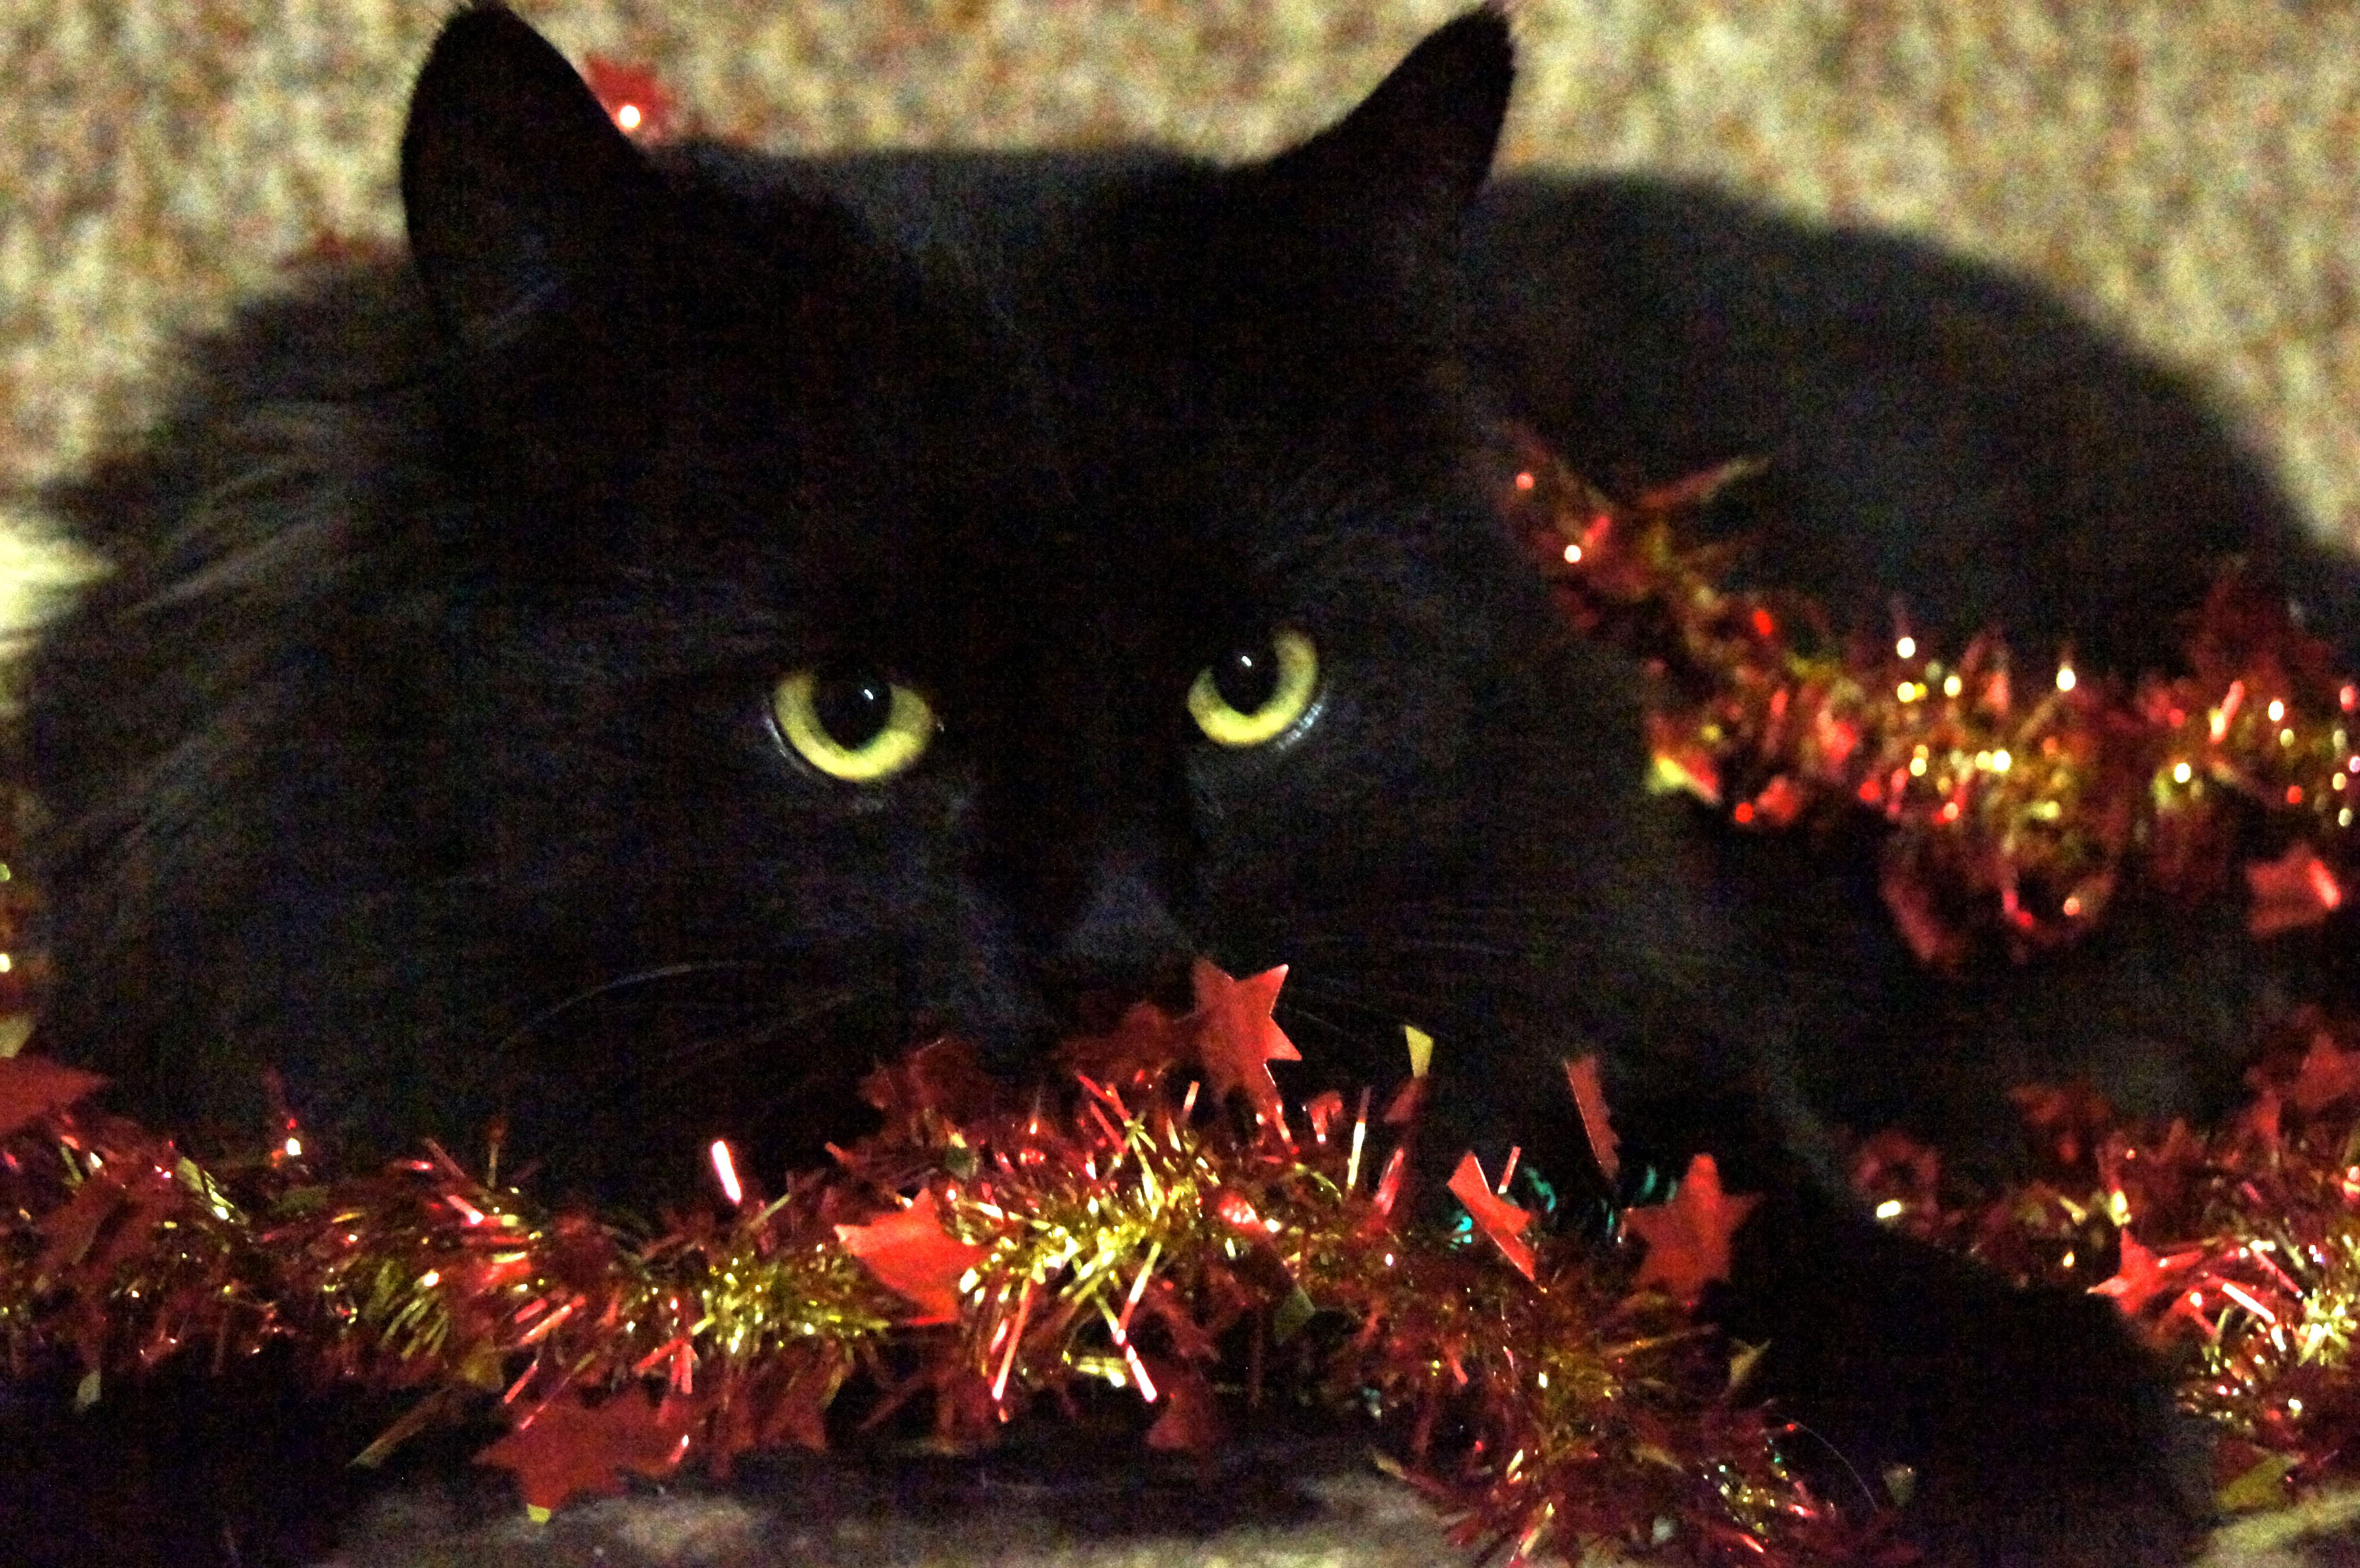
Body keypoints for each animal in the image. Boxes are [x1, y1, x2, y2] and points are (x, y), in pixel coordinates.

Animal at [17, 4, 2360, 1564]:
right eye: (848, 712)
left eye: (1253, 687)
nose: (1117, 947)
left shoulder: (1614, 1019)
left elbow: (1758, 1216)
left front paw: (2048, 1431)